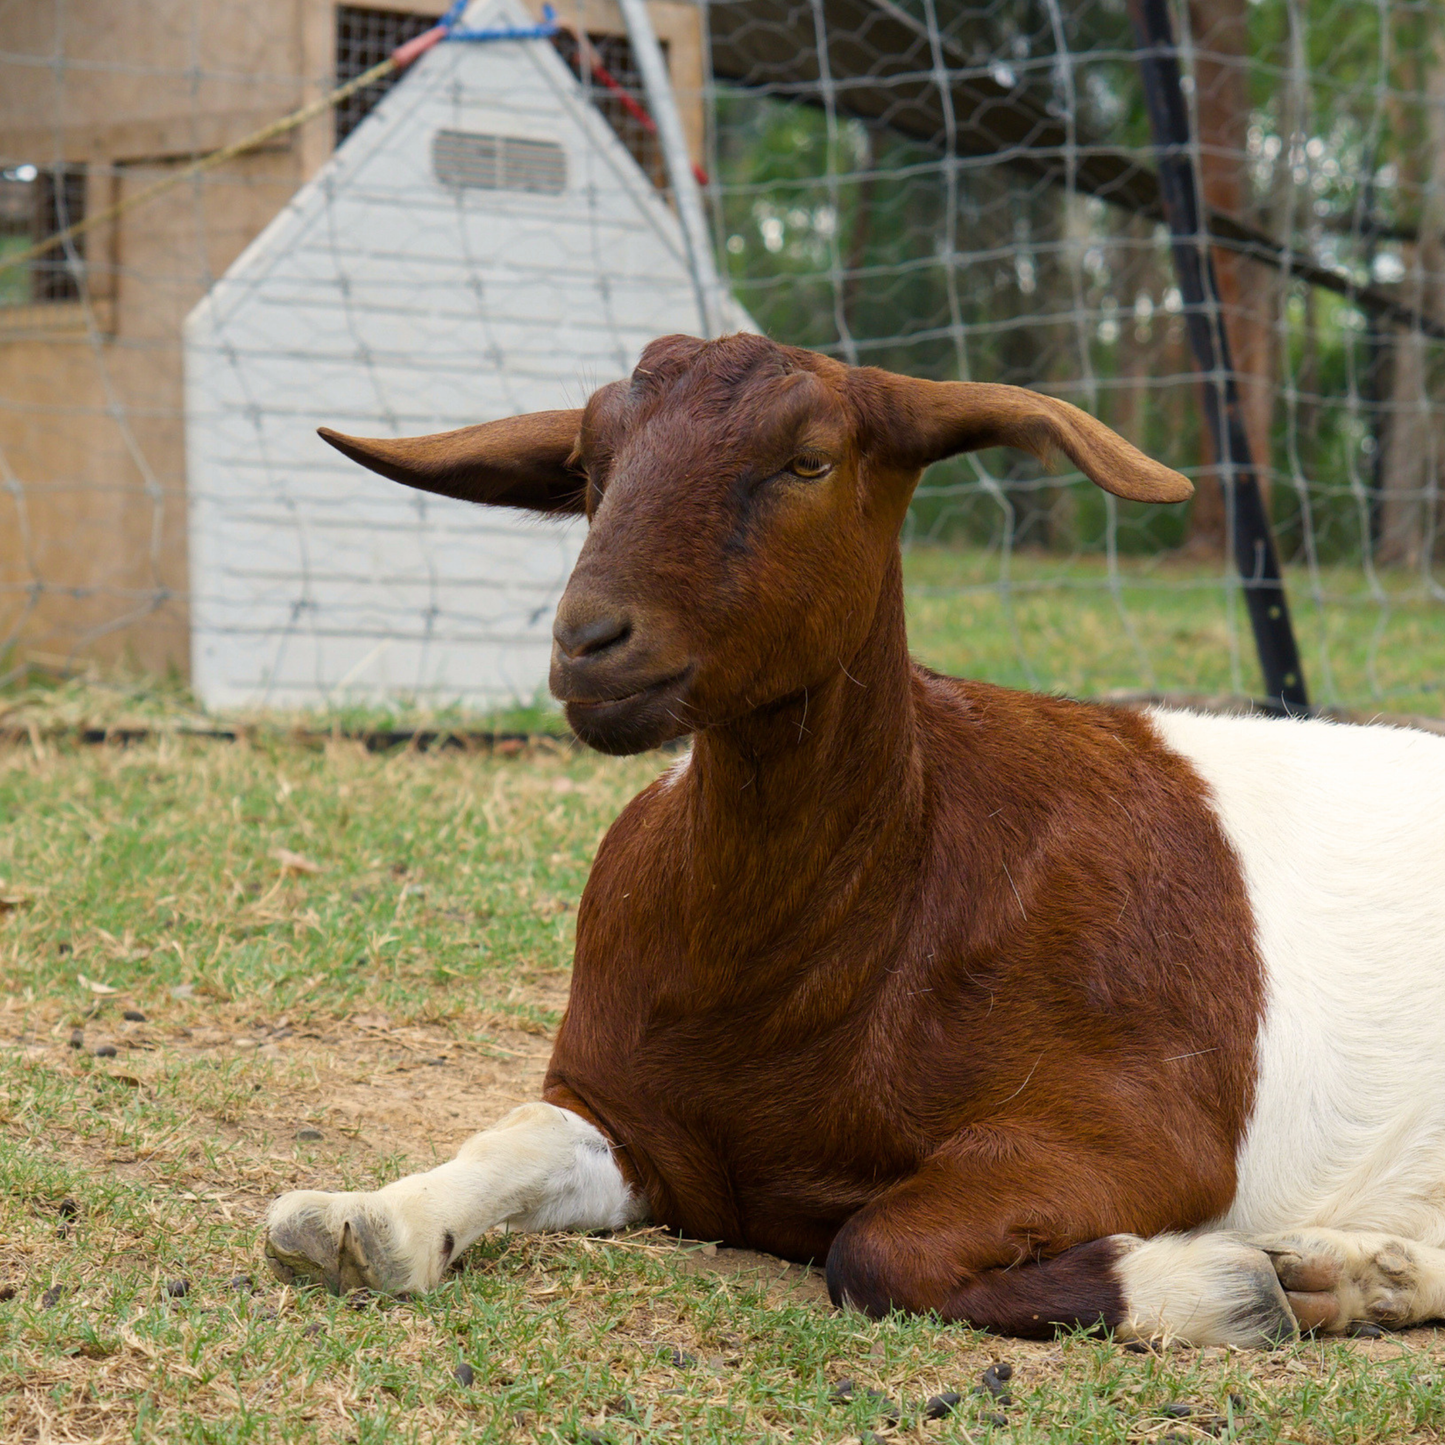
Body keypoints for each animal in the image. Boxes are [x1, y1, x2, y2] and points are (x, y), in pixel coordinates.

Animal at [265, 332, 1445, 1345]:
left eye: (808, 460)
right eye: (590, 467)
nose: (590, 640)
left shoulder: (1145, 1126)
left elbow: (877, 1246)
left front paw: (1219, 1284)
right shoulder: (638, 1123)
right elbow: (512, 1134)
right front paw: (365, 1216)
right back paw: (1363, 1270)